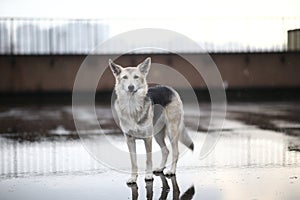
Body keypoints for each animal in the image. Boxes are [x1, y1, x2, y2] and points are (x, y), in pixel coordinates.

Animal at [109, 56, 193, 184]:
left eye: (136, 77)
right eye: (124, 77)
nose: (131, 87)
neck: (132, 106)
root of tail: (169, 88)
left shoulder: (147, 139)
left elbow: (148, 159)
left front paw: (148, 176)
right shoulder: (129, 140)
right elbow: (133, 162)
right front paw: (133, 178)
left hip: (171, 131)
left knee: (175, 152)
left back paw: (171, 171)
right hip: (158, 134)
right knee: (166, 151)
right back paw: (160, 168)